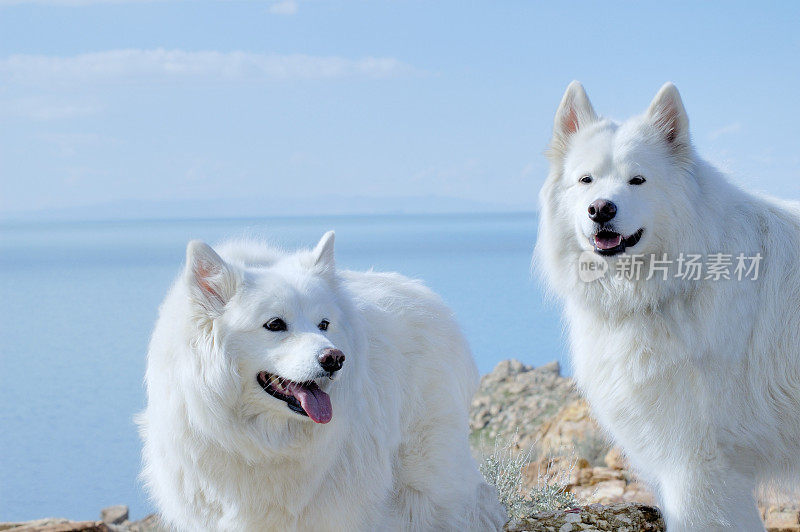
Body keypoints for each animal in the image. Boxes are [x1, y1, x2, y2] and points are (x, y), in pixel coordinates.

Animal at [137, 234, 500, 532]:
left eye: (323, 324)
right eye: (275, 324)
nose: (335, 358)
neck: (262, 444)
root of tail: (429, 297)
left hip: (427, 478)